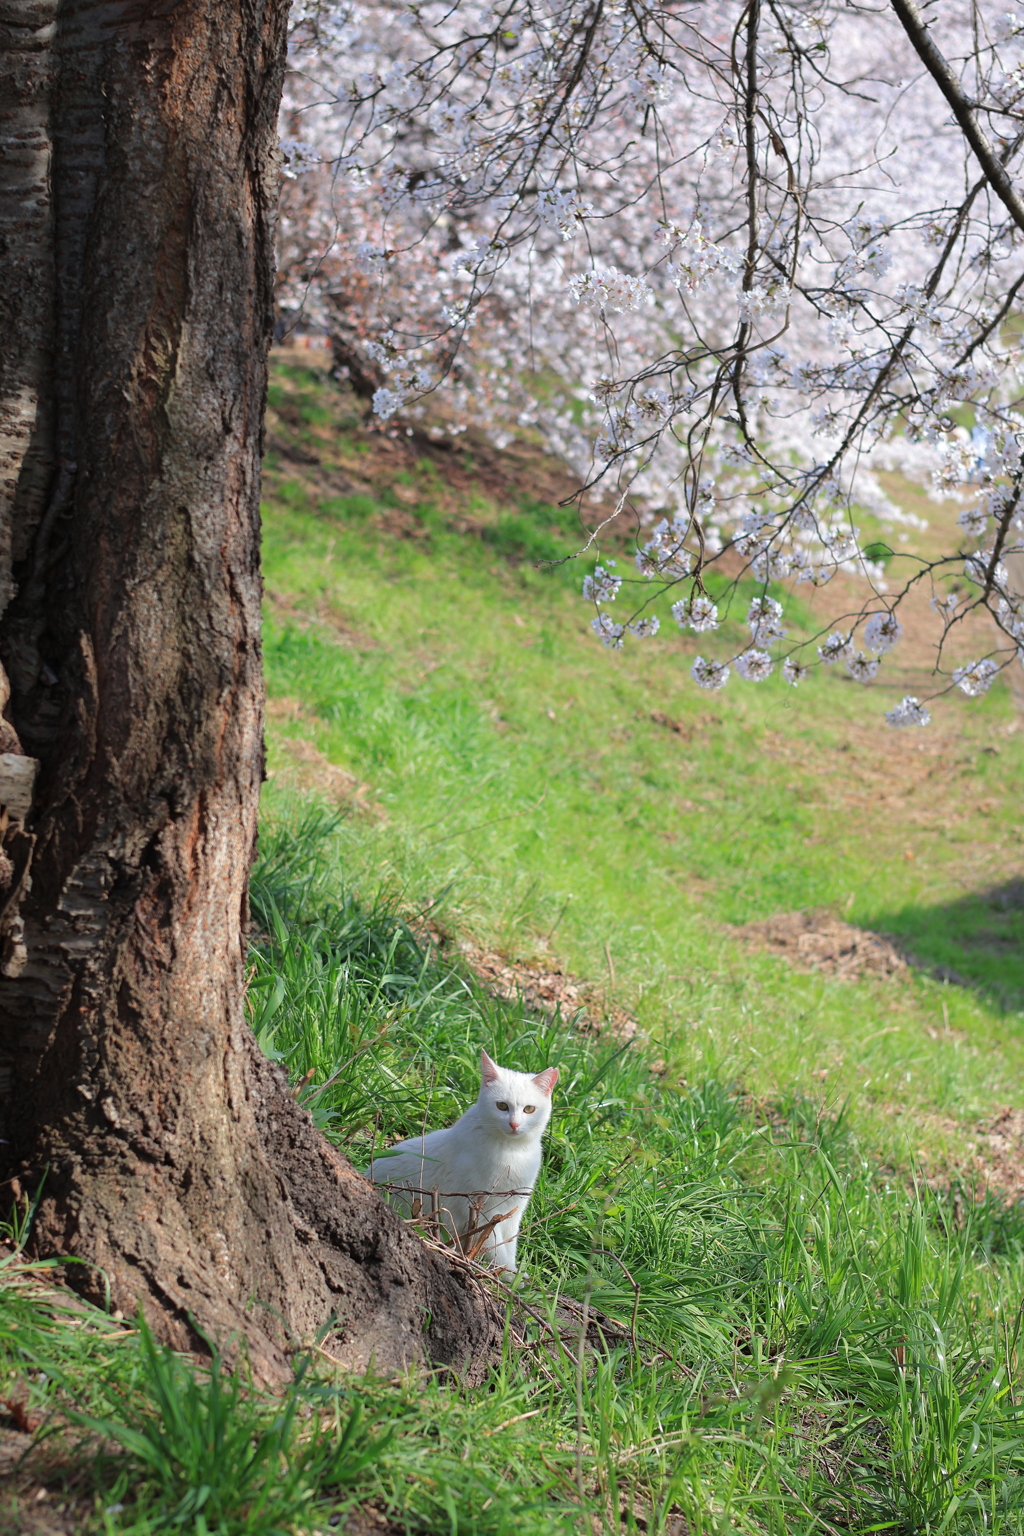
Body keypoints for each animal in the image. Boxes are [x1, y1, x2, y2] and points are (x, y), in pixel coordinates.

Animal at [368, 1050, 555, 1277]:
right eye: (502, 1106)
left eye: (529, 1109)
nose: (514, 1124)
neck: (513, 1152)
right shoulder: (480, 1211)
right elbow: (496, 1247)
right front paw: (508, 1275)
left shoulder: (513, 1211)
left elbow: (509, 1245)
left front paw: (513, 1273)